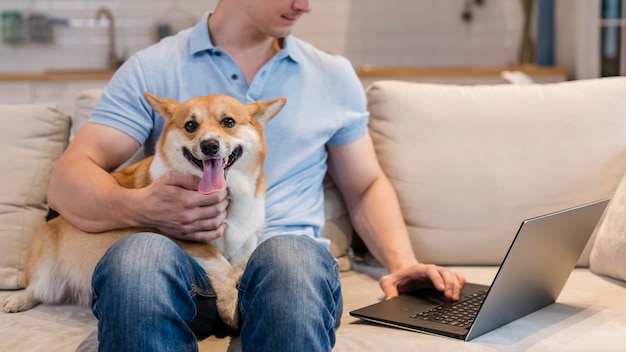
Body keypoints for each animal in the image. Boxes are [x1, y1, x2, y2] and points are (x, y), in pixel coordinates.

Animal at [1, 92, 286, 328]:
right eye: (190, 126)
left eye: (228, 122)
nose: (209, 146)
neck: (227, 196)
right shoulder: (182, 233)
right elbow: (220, 264)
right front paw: (229, 305)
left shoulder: (247, 238)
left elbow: (240, 262)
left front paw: (239, 287)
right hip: (45, 257)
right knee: (37, 288)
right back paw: (17, 300)